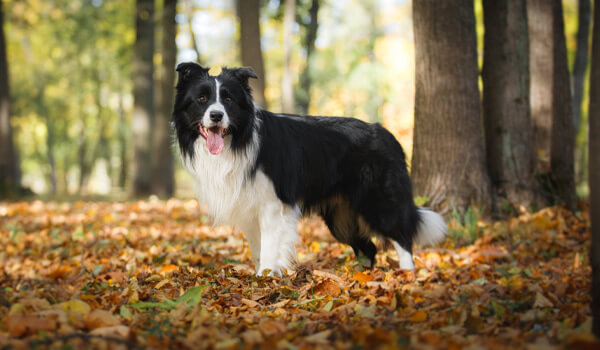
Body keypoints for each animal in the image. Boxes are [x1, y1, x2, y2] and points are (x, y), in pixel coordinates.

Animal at [172, 63, 446, 276]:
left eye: (228, 99)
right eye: (202, 99)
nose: (217, 116)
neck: (239, 140)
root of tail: (386, 133)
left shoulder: (272, 205)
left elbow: (269, 248)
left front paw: (265, 279)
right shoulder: (249, 208)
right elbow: (258, 249)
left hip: (378, 201)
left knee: (402, 236)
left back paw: (407, 275)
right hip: (341, 218)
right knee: (368, 248)